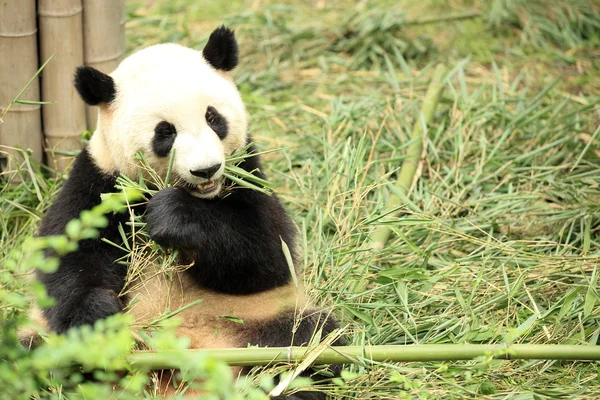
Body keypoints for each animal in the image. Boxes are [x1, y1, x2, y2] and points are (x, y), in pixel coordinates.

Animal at [29, 26, 342, 398]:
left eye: (213, 117)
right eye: (165, 132)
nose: (206, 170)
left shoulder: (246, 171)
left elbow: (270, 255)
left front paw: (172, 216)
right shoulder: (99, 182)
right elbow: (69, 259)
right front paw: (95, 323)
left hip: (260, 320)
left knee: (310, 341)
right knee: (35, 351)